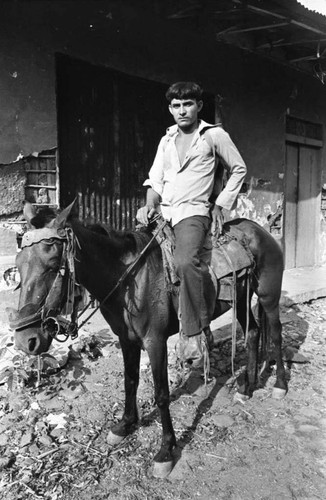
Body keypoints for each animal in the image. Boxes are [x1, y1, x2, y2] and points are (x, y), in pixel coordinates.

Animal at [7, 201, 286, 478]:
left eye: (53, 264)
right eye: (18, 265)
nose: (25, 341)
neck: (129, 280)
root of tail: (260, 230)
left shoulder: (155, 341)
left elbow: (161, 394)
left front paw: (166, 450)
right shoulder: (126, 339)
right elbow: (130, 381)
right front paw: (125, 425)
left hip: (268, 296)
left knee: (276, 335)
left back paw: (280, 385)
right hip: (241, 300)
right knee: (253, 334)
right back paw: (247, 388)